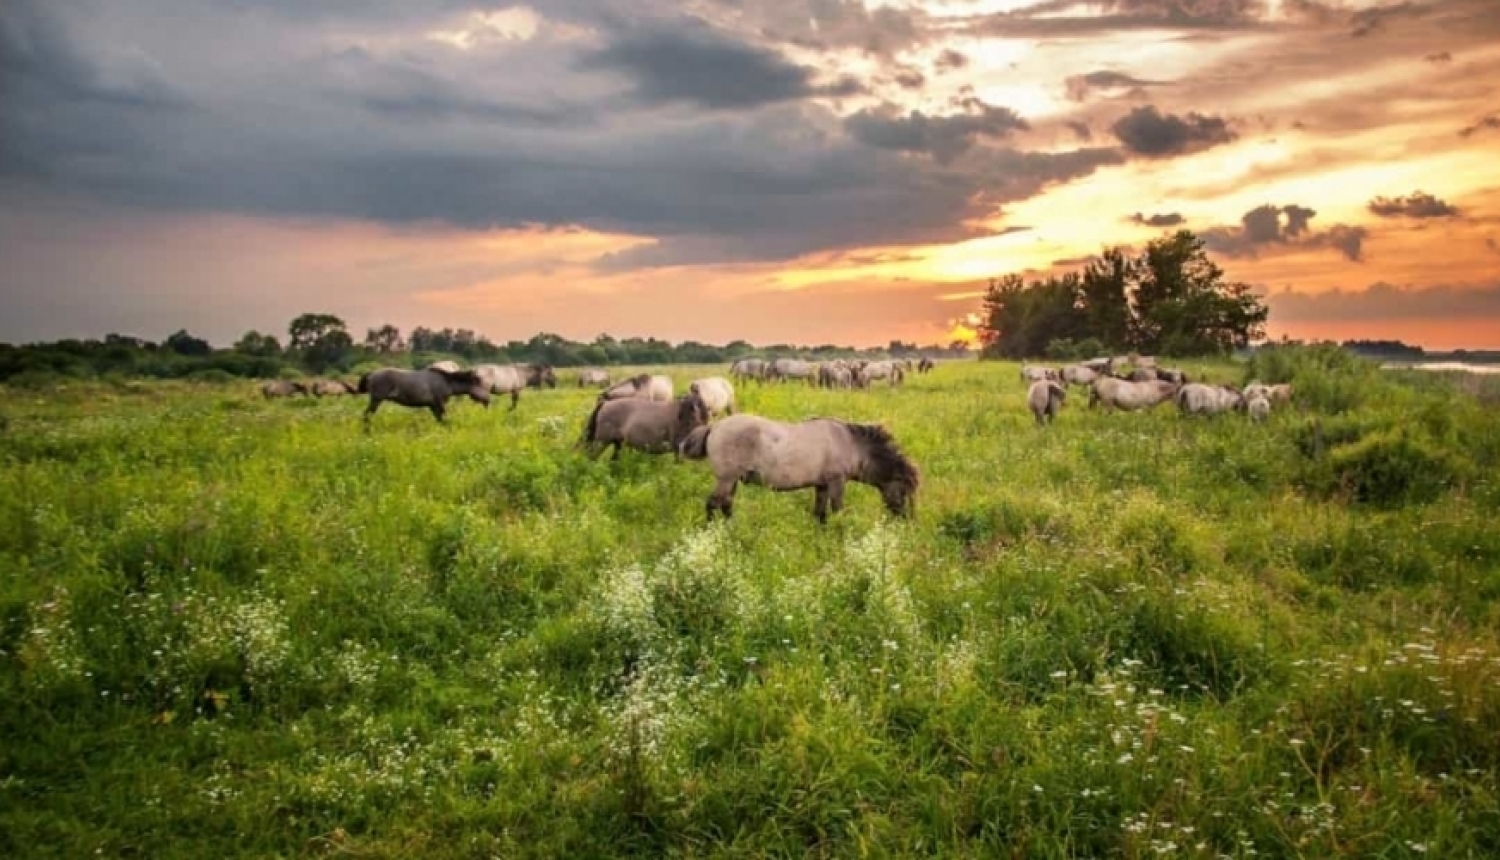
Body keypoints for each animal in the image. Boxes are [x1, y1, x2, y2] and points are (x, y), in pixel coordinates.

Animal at [354, 363, 489, 426]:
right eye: (480, 384)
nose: (488, 401)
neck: (446, 381)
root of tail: (372, 373)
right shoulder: (439, 404)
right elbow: (444, 420)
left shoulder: (432, 406)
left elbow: (440, 420)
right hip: (376, 400)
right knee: (366, 416)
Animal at [579, 390, 708, 459]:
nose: (681, 417)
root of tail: (605, 403)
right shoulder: (678, 449)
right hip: (601, 442)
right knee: (591, 457)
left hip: (617, 443)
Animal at [678, 411, 912, 522]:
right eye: (904, 489)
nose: (906, 520)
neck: (849, 443)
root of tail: (714, 426)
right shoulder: (837, 483)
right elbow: (837, 512)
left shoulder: (822, 486)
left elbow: (820, 515)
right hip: (726, 479)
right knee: (713, 504)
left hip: (732, 481)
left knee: (726, 504)